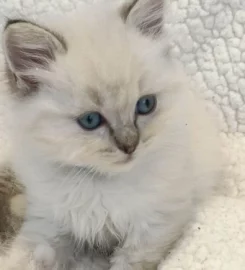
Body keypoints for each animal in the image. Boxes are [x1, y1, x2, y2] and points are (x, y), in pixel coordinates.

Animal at [0, 0, 222, 268]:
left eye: (146, 105)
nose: (130, 145)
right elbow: (23, 257)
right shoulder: (47, 223)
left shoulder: (153, 227)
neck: (100, 183)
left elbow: (129, 261)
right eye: (90, 120)